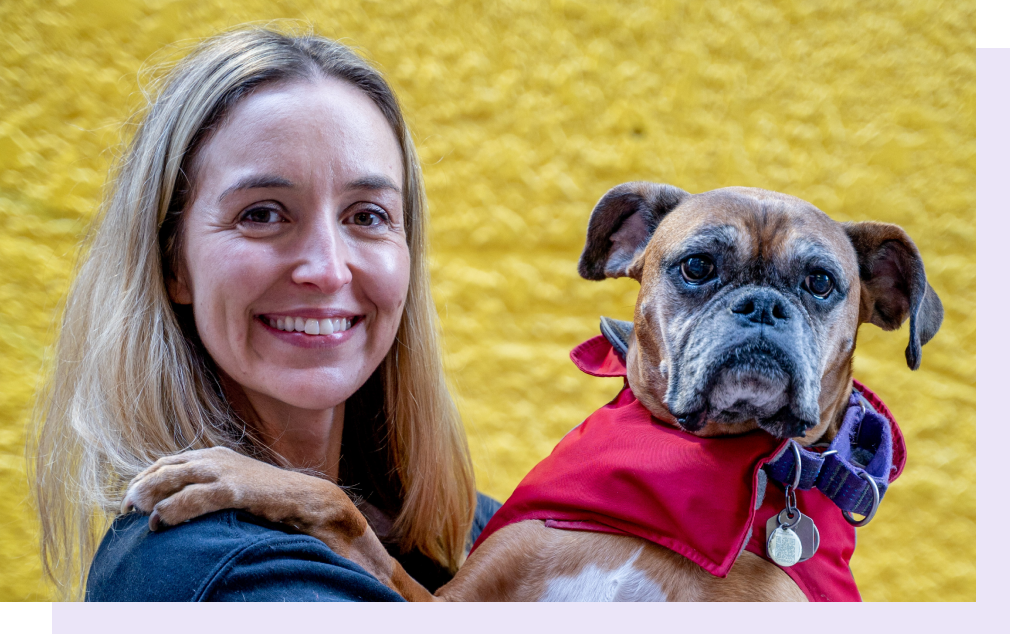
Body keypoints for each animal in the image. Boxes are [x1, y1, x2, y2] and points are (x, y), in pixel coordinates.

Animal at [122, 181, 941, 597]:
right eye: (699, 266)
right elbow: (340, 508)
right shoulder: (449, 602)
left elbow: (341, 508)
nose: (763, 307)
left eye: (821, 283)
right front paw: (236, 473)